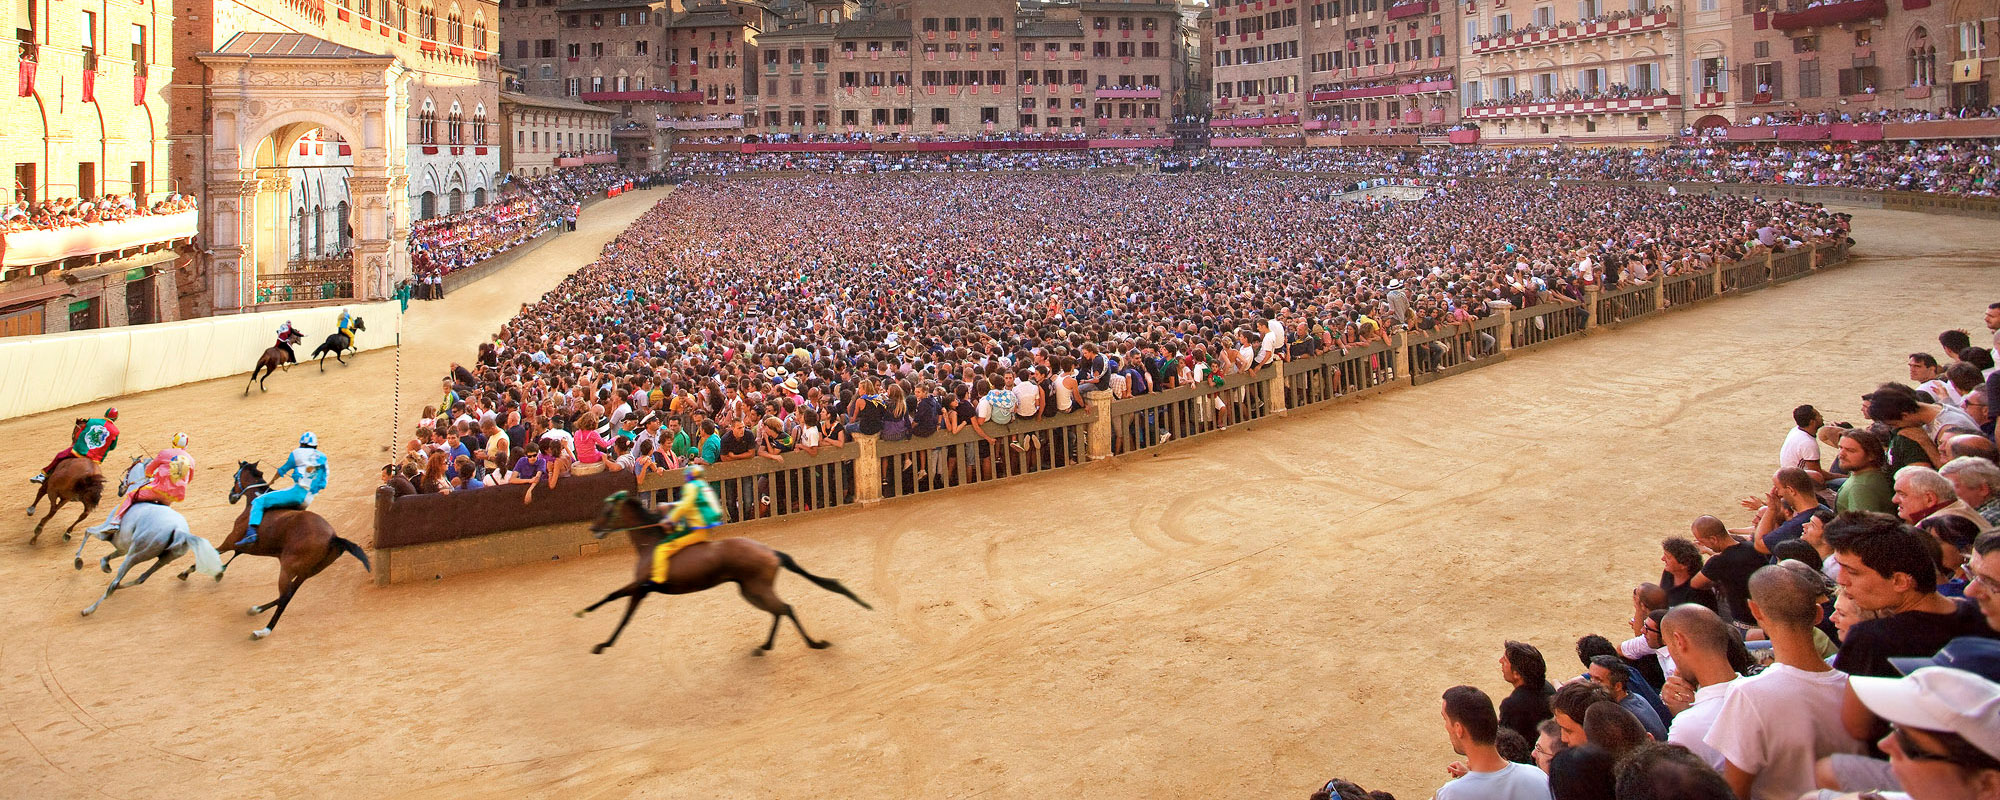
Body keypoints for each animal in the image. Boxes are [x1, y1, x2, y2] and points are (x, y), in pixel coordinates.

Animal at [77, 504, 221, 616]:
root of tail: (179, 531)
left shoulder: (107, 535)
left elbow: (87, 531)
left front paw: (78, 561)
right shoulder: (123, 547)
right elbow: (109, 555)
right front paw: (105, 565)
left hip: (134, 555)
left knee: (114, 584)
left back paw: (88, 610)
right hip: (163, 559)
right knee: (141, 578)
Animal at [193, 462, 374, 636]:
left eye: (234, 476)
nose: (231, 496)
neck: (254, 500)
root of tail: (333, 538)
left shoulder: (231, 540)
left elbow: (214, 552)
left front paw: (191, 572)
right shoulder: (244, 546)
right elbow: (234, 554)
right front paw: (219, 571)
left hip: (288, 569)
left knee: (285, 597)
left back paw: (262, 630)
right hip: (307, 572)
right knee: (288, 595)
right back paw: (257, 611)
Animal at [572, 494, 868, 656]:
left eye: (607, 510)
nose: (593, 529)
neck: (651, 543)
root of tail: (770, 551)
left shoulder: (640, 588)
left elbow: (621, 613)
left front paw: (600, 639)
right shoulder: (640, 587)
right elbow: (613, 598)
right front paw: (587, 616)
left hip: (756, 588)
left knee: (785, 608)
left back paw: (813, 644)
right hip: (749, 590)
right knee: (780, 610)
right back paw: (766, 646)